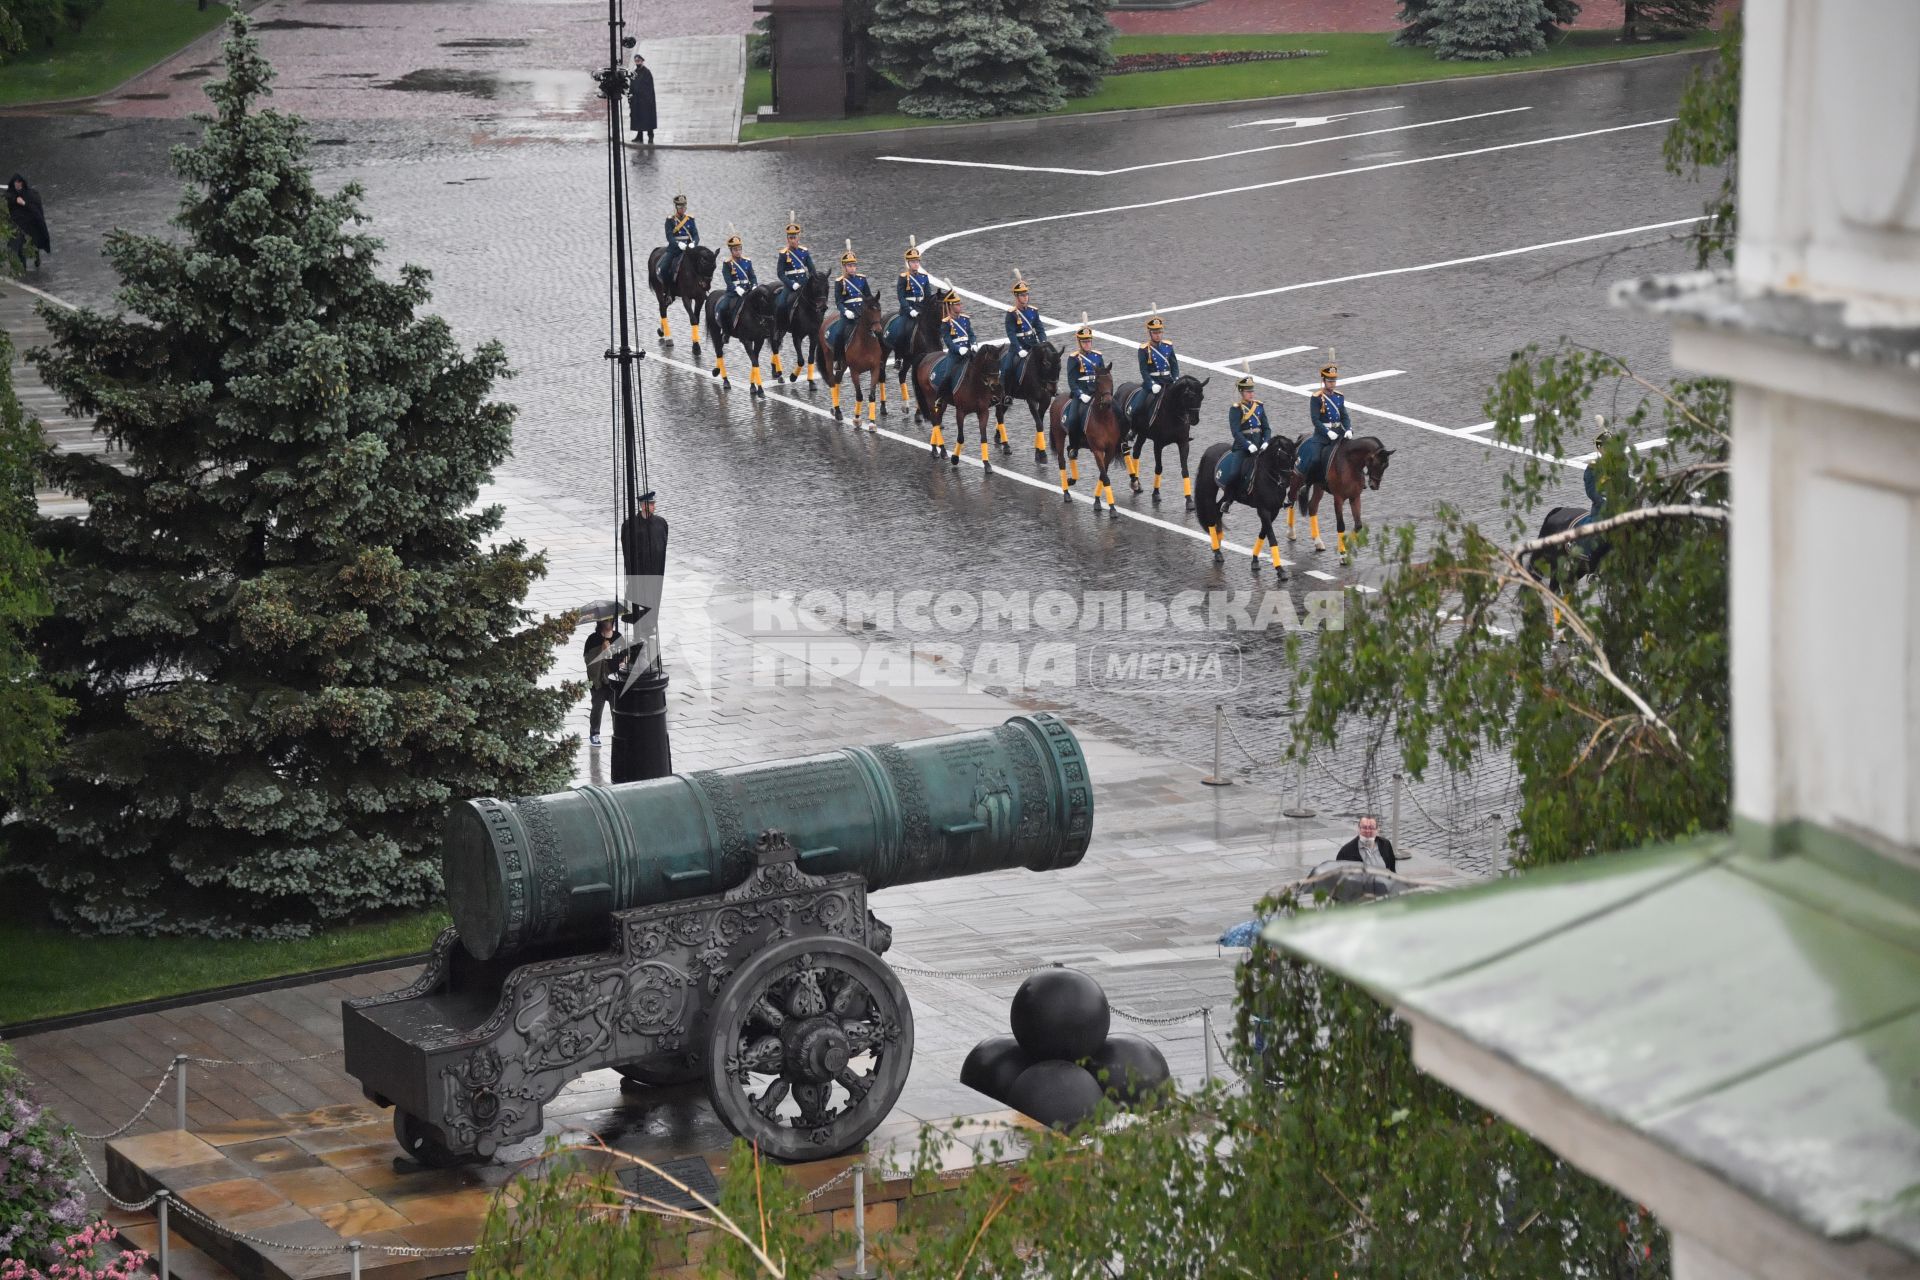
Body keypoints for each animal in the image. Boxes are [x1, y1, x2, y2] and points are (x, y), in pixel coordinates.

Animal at [817, 291, 890, 427]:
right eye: (868, 310)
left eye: (879, 309)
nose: (878, 330)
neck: (865, 344)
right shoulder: (854, 371)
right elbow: (859, 395)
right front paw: (857, 418)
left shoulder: (875, 369)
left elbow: (872, 396)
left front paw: (872, 423)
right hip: (829, 358)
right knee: (832, 381)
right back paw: (837, 411)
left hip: (843, 364)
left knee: (837, 379)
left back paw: (835, 410)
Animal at [1052, 362, 1121, 514]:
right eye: (1098, 381)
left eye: (1111, 380)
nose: (1107, 401)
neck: (1103, 419)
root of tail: (1058, 398)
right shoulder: (1097, 450)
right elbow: (1105, 477)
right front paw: (1112, 508)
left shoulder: (1110, 450)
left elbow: (1103, 475)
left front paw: (1097, 501)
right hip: (1059, 434)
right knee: (1062, 460)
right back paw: (1066, 493)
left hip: (1076, 441)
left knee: (1071, 451)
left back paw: (1072, 480)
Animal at [1113, 372, 1198, 514]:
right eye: (1189, 397)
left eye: (1201, 397)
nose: (1195, 420)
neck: (1172, 414)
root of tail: (1121, 387)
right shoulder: (1158, 444)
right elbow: (1159, 467)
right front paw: (1156, 493)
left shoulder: (1183, 443)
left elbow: (1185, 470)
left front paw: (1189, 500)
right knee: (1126, 451)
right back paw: (1134, 481)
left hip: (1142, 434)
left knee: (1136, 452)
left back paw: (1137, 483)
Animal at [1190, 437, 1297, 583]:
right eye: (1284, 457)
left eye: (1295, 458)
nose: (1286, 483)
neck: (1269, 477)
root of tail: (1212, 448)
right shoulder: (1263, 510)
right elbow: (1272, 538)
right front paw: (1280, 570)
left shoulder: (1273, 511)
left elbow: (1263, 534)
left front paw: (1255, 560)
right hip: (1208, 490)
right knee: (1211, 515)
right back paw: (1217, 550)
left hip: (1228, 494)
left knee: (1218, 510)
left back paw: (1218, 542)